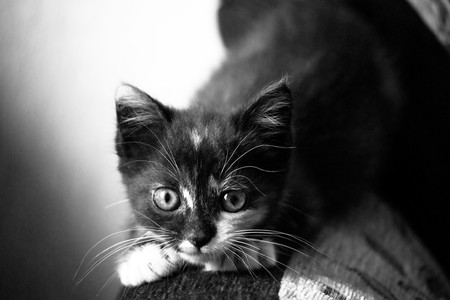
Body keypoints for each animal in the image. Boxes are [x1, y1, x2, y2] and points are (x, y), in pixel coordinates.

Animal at [112, 0, 442, 288]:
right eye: (167, 198)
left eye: (234, 200)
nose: (198, 238)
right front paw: (141, 256)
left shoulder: (304, 181)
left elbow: (300, 211)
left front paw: (248, 249)